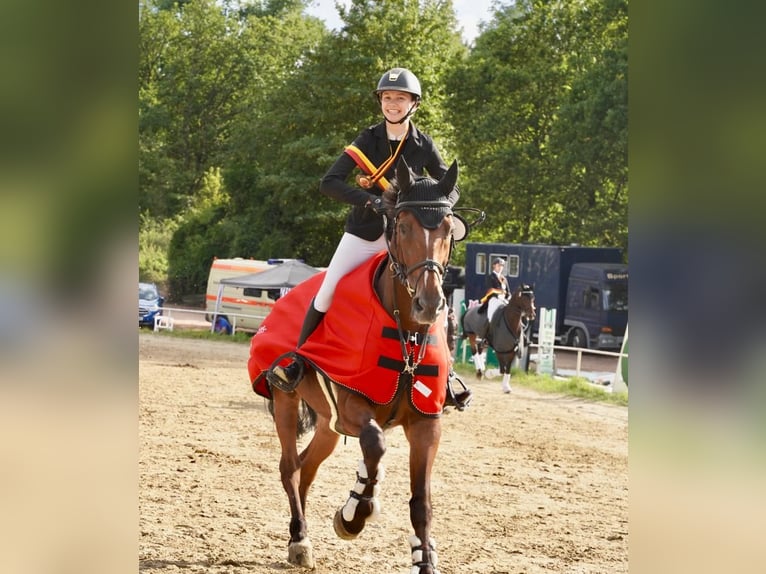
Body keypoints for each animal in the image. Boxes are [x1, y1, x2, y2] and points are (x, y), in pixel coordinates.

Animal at [252, 158, 468, 574]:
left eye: (448, 230)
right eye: (403, 226)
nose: (429, 304)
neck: (407, 335)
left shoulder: (426, 423)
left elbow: (421, 499)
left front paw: (424, 558)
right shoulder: (352, 404)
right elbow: (376, 444)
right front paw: (354, 514)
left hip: (328, 424)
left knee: (307, 468)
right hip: (287, 402)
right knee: (290, 467)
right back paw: (300, 539)